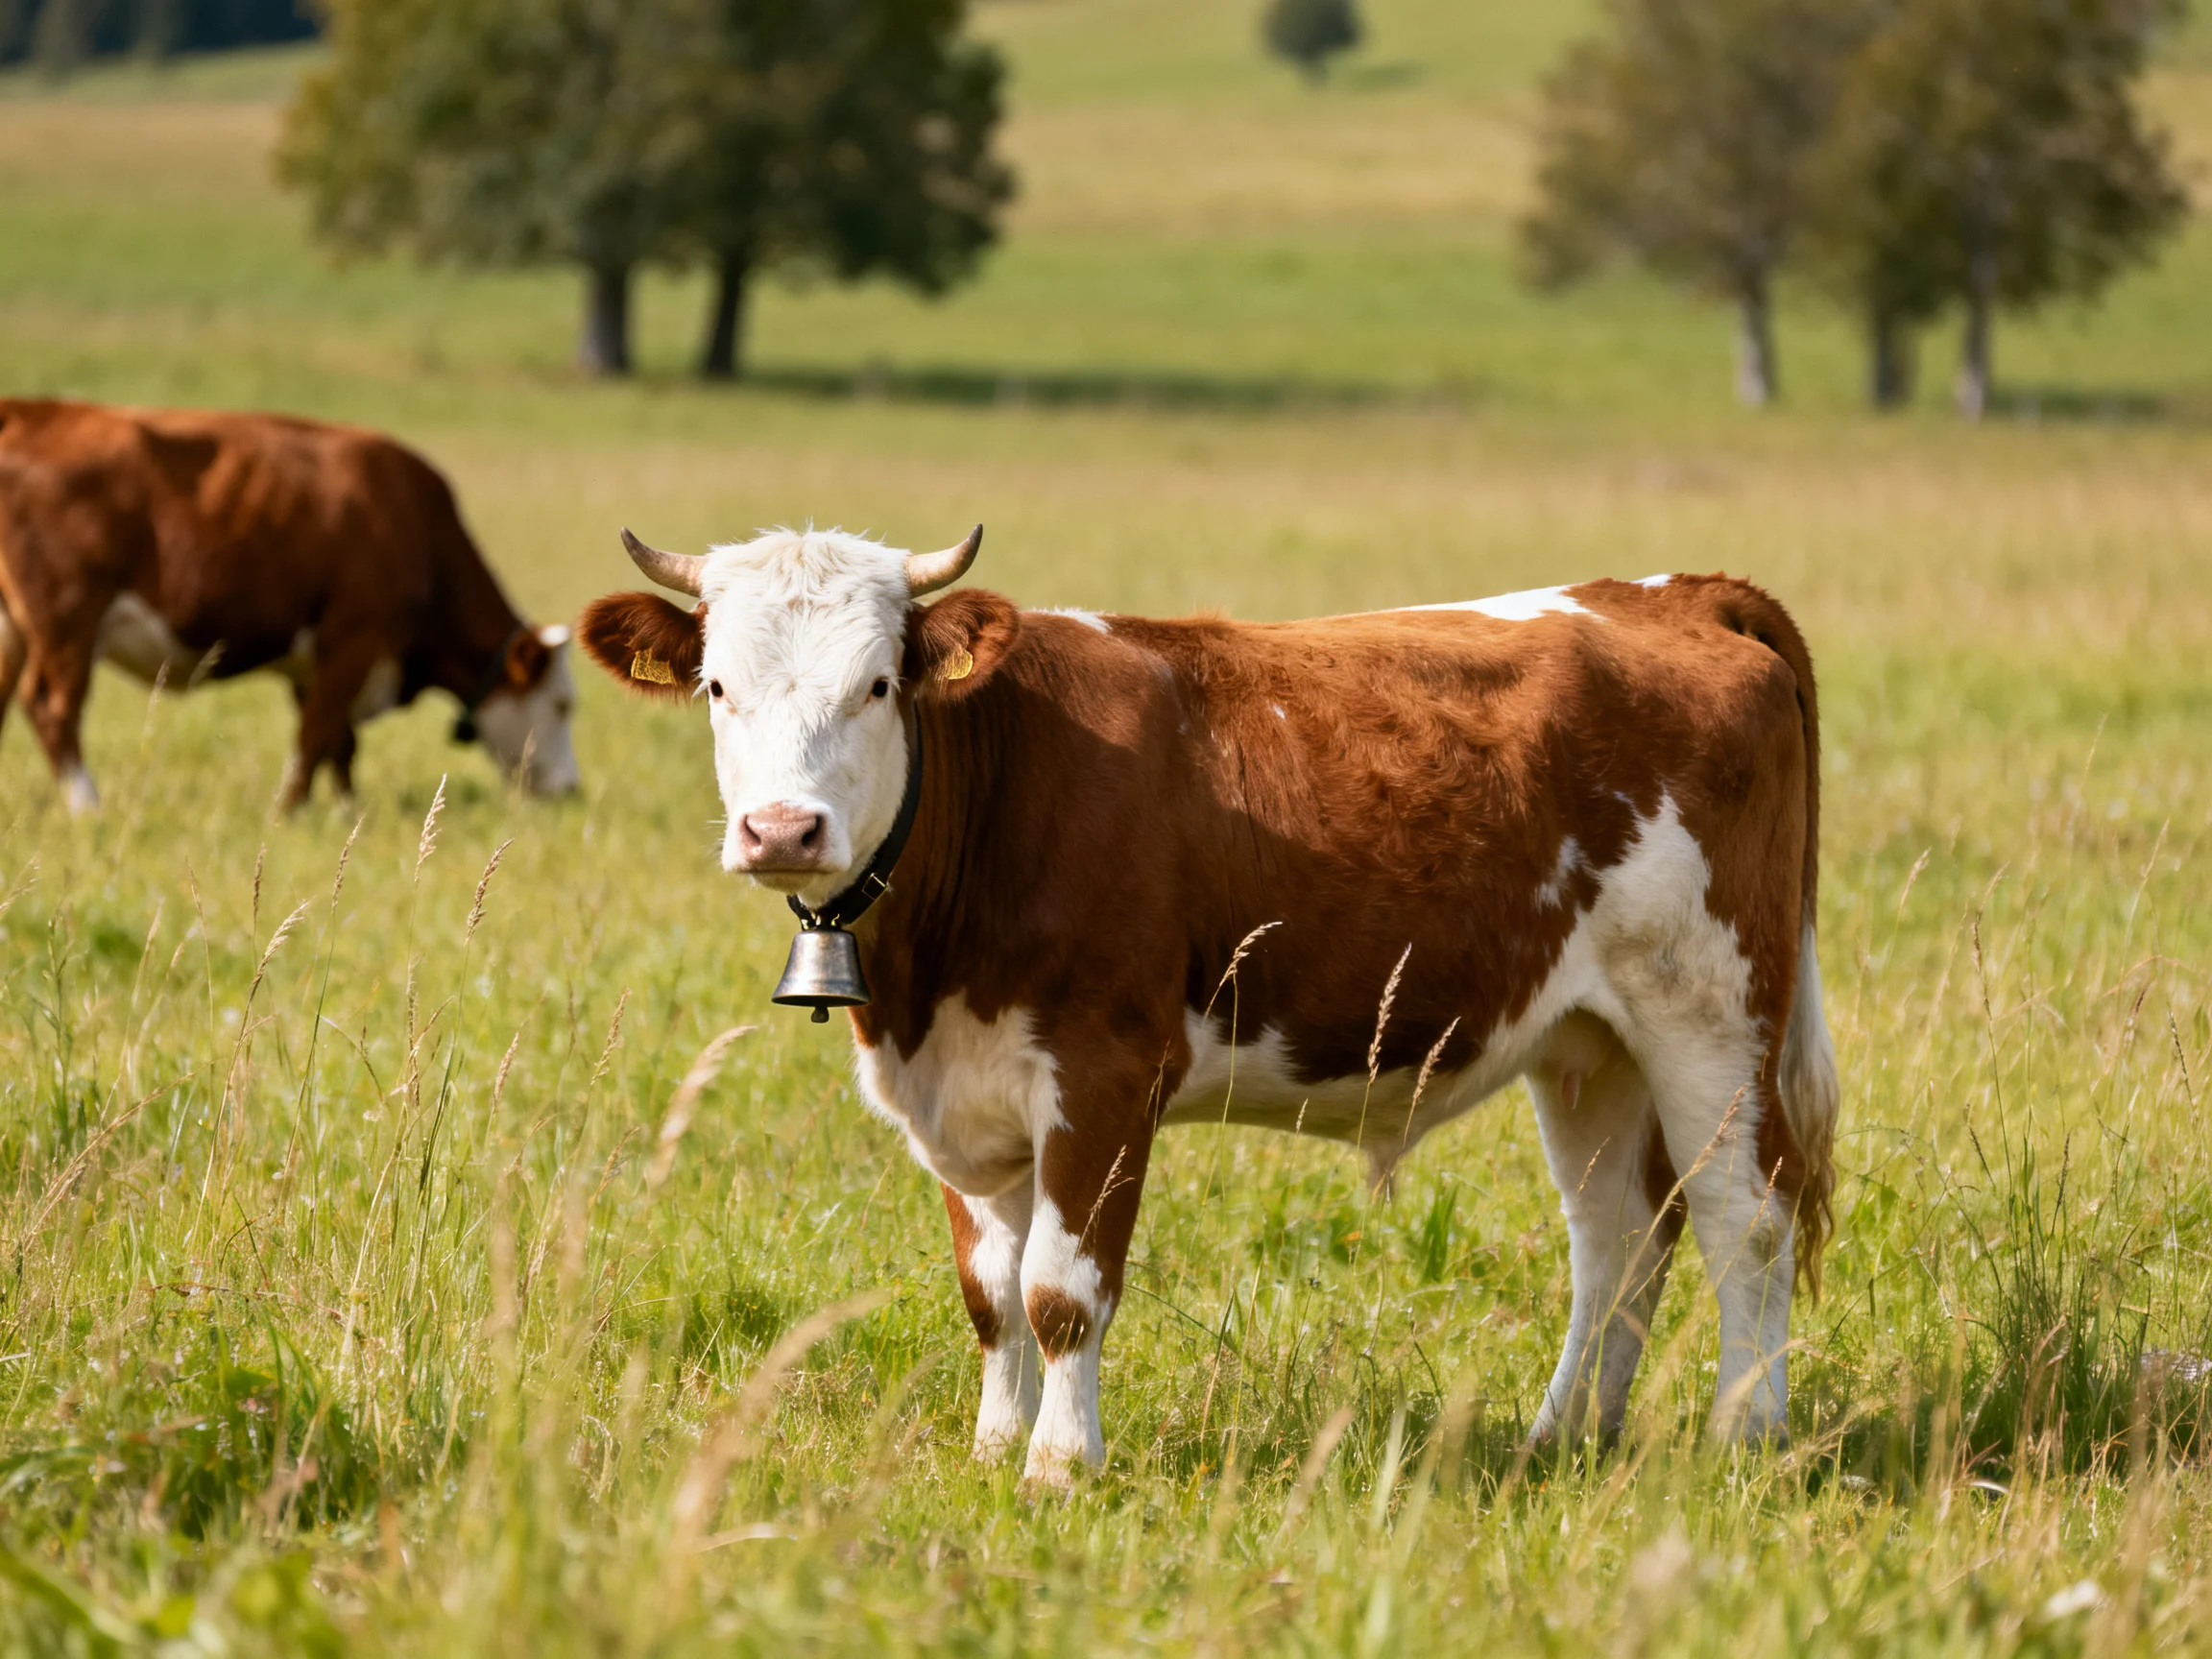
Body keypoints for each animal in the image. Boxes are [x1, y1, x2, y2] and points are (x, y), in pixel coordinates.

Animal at [0, 398, 579, 812]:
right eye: (562, 705)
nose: (572, 789)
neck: (416, 526)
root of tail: (30, 410)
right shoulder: (354, 638)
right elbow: (317, 734)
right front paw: (289, 813)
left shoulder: (318, 662)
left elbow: (339, 741)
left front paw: (348, 812)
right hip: (68, 619)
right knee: (53, 708)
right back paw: (87, 805)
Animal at [577, 525, 1840, 1485]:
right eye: (719, 686)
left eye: (877, 685)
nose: (783, 830)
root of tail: (1672, 594)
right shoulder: (962, 1093)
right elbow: (990, 1293)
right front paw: (991, 1452)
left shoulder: (1103, 1072)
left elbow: (1061, 1289)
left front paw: (1059, 1468)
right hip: (1588, 1043)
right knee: (1619, 1237)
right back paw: (1562, 1441)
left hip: (1712, 1009)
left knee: (1746, 1218)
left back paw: (1745, 1441)